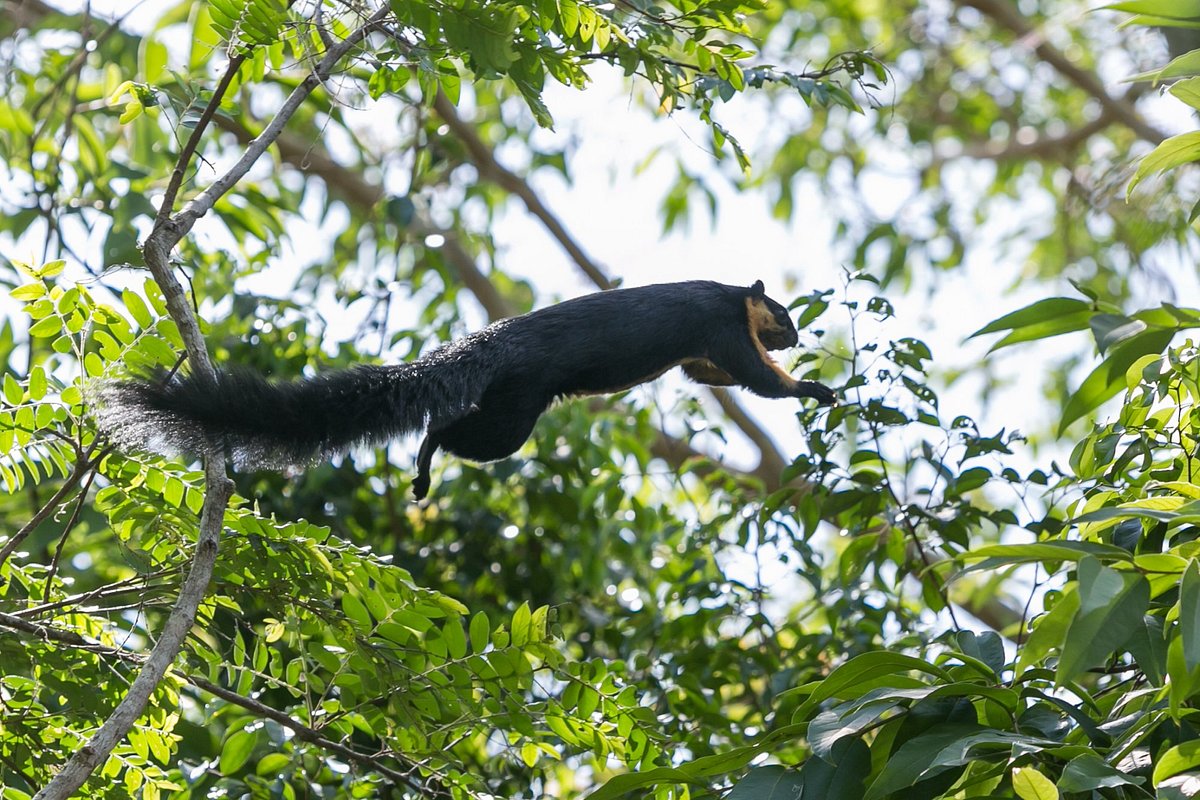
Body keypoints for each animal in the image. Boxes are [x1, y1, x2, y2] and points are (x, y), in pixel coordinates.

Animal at [96, 278, 835, 496]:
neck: (732, 296)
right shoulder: (721, 326)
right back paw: (424, 468)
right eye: (784, 314)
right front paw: (815, 391)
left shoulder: (704, 351)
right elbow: (757, 381)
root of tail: (493, 341)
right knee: (448, 431)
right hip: (514, 415)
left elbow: (706, 373)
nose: (798, 336)